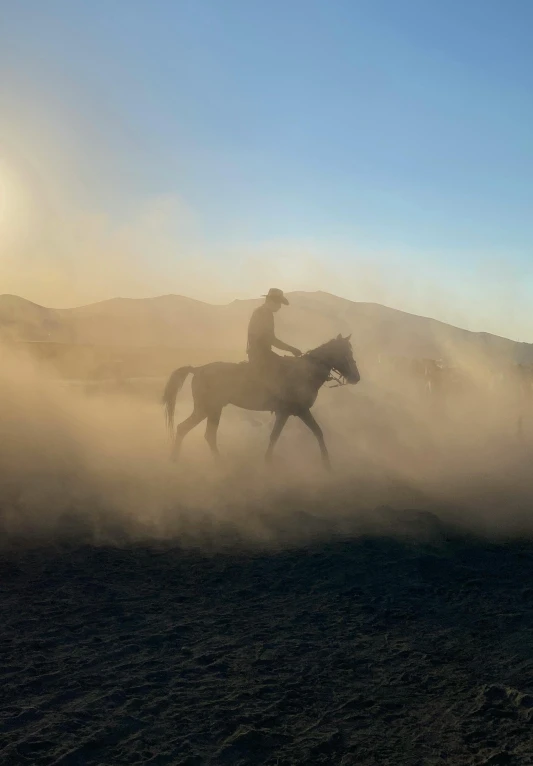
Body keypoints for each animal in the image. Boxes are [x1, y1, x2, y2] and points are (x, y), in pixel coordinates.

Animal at [160, 334, 360, 468]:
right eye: (345, 353)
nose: (356, 377)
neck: (305, 373)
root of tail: (197, 369)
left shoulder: (285, 413)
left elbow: (278, 435)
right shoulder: (298, 411)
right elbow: (313, 432)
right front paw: (327, 464)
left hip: (212, 410)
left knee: (201, 433)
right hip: (207, 409)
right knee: (188, 429)